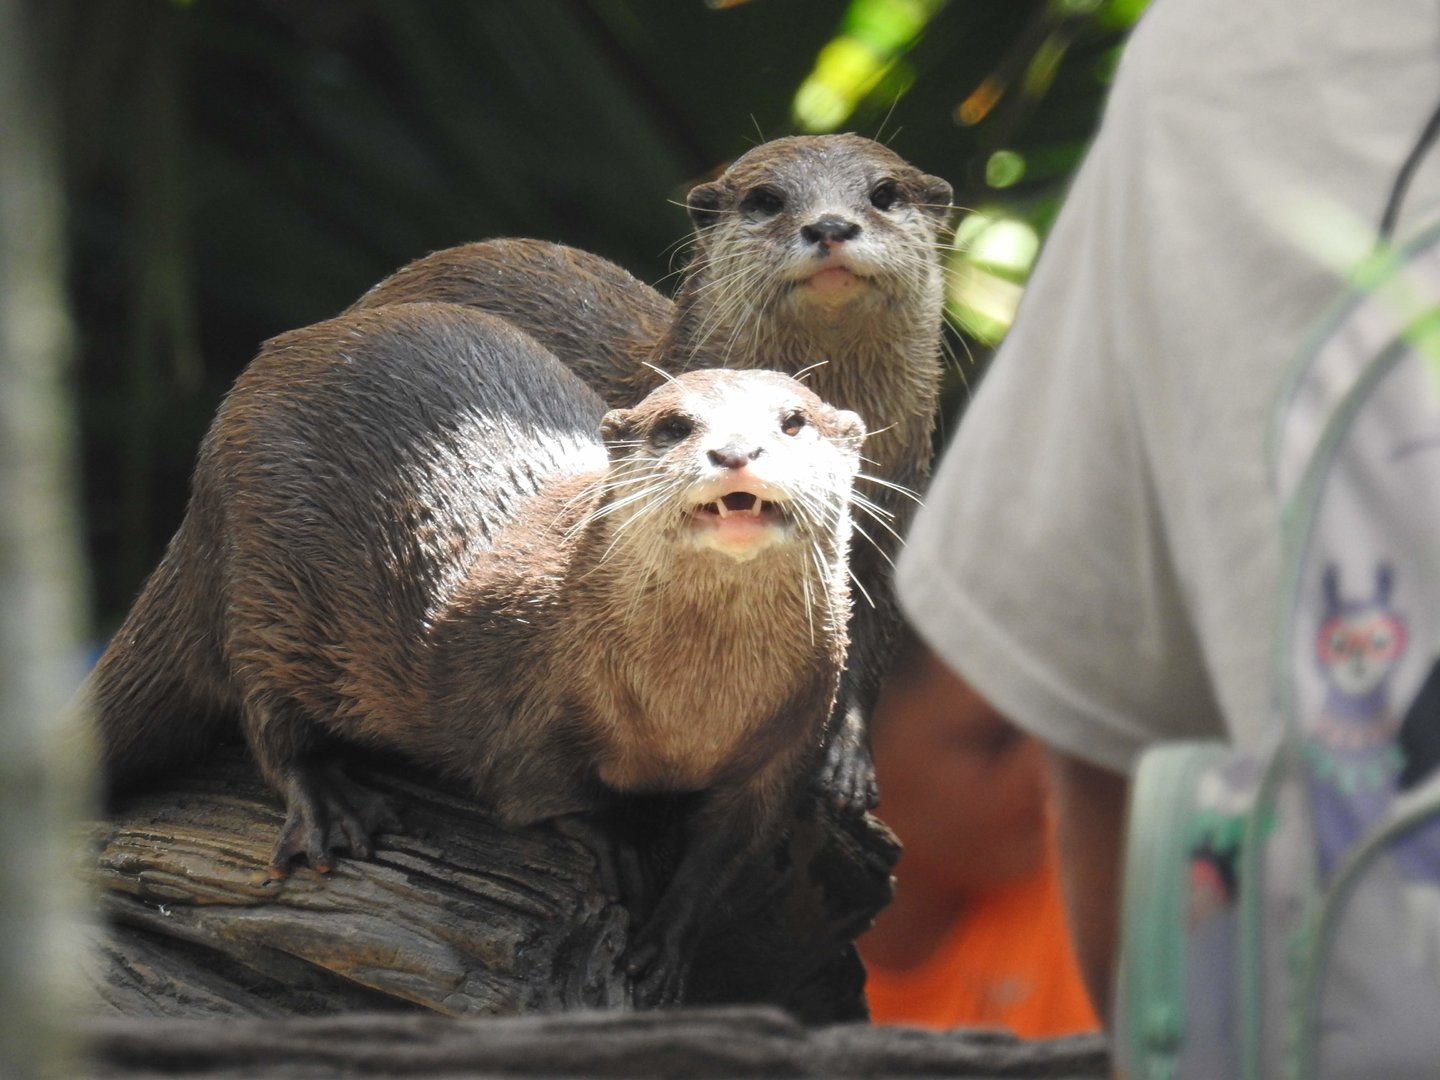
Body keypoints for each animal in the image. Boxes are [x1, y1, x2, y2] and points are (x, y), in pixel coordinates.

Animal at [86, 301, 865, 1004]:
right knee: (267, 717)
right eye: (675, 425)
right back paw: (330, 805)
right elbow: (535, 791)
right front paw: (619, 844)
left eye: (792, 421)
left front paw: (670, 939)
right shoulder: (526, 702)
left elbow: (727, 850)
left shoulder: (789, 741)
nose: (735, 453)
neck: (688, 709)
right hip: (261, 576)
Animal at [348, 134, 953, 814]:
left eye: (884, 193)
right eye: (767, 199)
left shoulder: (894, 525)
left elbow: (869, 647)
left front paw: (847, 763)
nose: (829, 225)